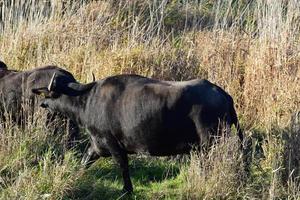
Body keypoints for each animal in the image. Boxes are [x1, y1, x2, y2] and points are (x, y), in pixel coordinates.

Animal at [32, 73, 244, 192]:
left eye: (52, 93)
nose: (42, 103)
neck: (88, 100)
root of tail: (223, 94)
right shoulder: (97, 146)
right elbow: (85, 161)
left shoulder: (113, 144)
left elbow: (123, 167)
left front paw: (127, 190)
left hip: (212, 143)